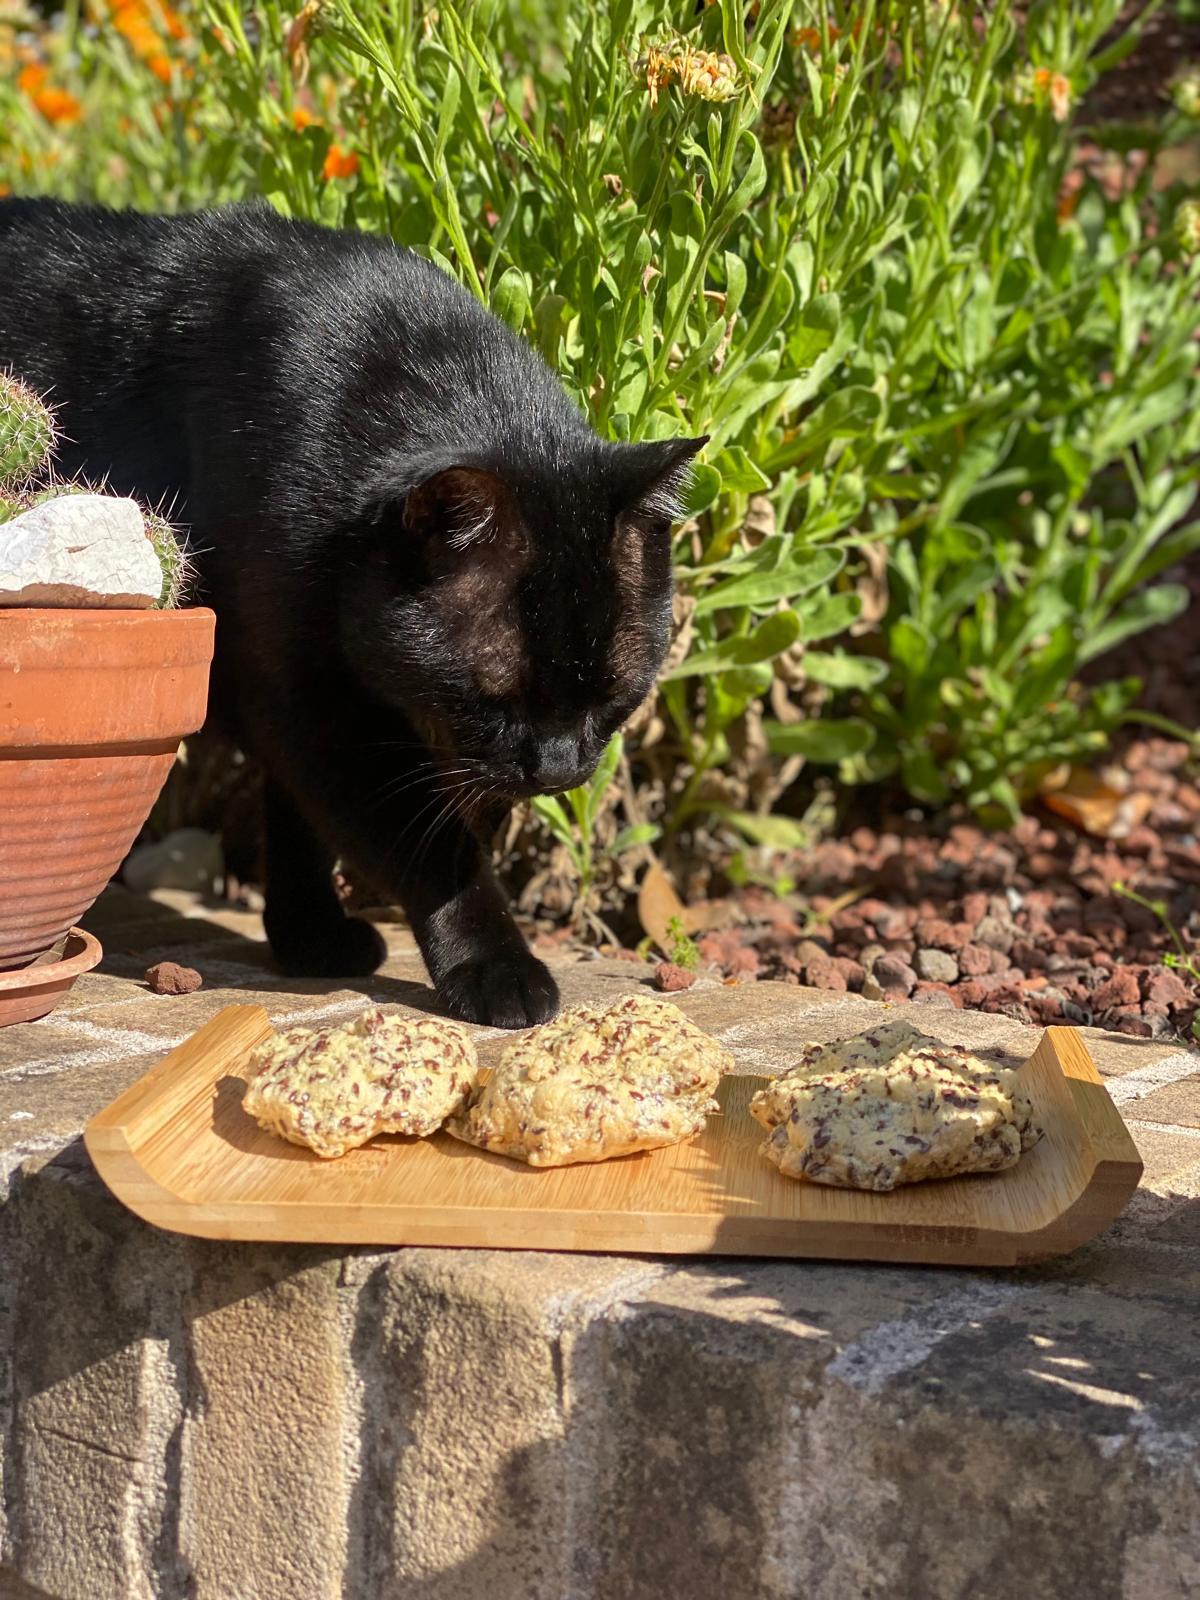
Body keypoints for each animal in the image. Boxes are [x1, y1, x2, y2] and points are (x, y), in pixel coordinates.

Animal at [0, 200, 710, 1024]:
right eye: (494, 700)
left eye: (611, 699)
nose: (560, 770)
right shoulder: (308, 703)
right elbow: (429, 849)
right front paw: (497, 966)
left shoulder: (299, 700)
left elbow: (298, 820)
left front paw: (309, 938)